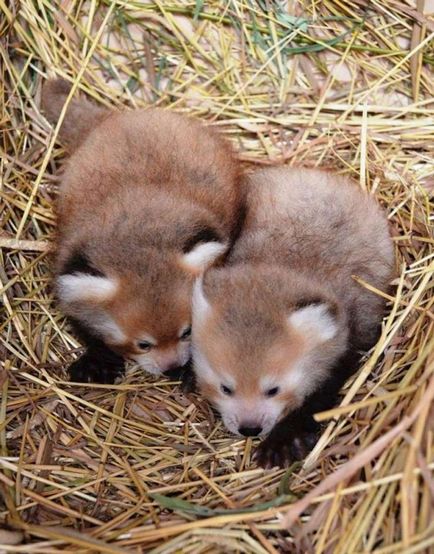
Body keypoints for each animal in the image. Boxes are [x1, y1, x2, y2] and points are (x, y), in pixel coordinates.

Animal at [42, 80, 246, 382]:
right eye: (143, 344)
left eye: (187, 332)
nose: (171, 367)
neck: (138, 235)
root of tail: (114, 117)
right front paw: (96, 361)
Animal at [192, 167, 396, 466]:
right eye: (225, 388)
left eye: (273, 389)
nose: (250, 428)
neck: (285, 265)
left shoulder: (347, 347)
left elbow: (317, 398)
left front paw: (285, 439)